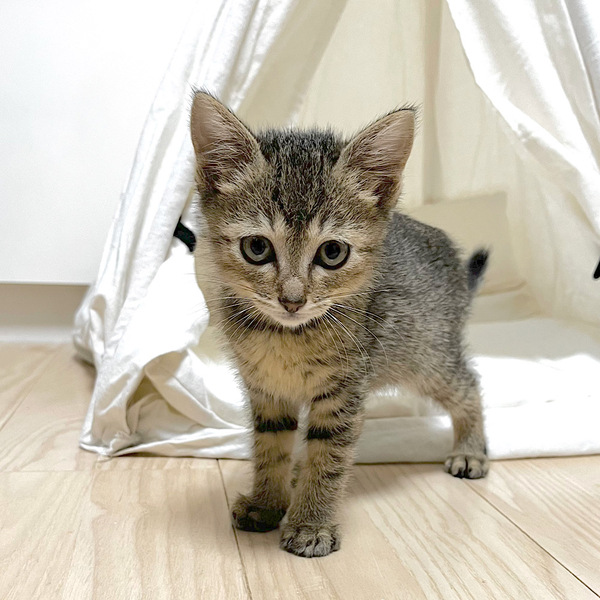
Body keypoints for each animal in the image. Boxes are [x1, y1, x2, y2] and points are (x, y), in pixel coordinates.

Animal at [190, 91, 489, 558]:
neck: (286, 337)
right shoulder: (266, 390)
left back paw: (471, 451)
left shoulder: (344, 391)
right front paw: (266, 503)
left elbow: (328, 456)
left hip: (427, 357)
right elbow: (270, 446)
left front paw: (311, 524)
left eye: (332, 253)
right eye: (256, 247)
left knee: (469, 385)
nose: (292, 299)